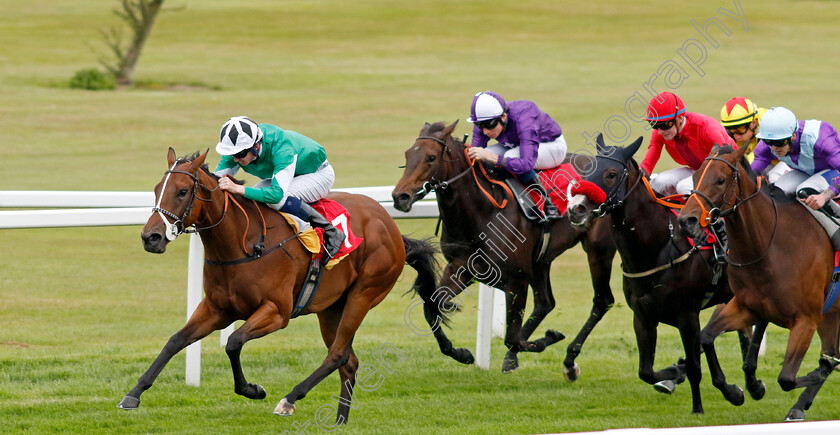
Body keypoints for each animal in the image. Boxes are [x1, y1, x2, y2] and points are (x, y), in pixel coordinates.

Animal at [120, 150, 446, 426]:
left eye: (182, 191)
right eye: (156, 189)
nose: (150, 237)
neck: (242, 243)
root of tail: (391, 227)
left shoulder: (277, 312)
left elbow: (233, 342)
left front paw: (253, 389)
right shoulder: (216, 309)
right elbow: (175, 341)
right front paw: (133, 394)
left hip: (363, 295)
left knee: (338, 354)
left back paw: (290, 399)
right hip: (331, 308)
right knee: (349, 360)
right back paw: (340, 420)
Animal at [392, 121, 616, 376]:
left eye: (430, 157)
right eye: (407, 155)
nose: (400, 197)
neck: (484, 212)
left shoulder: (516, 281)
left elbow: (512, 337)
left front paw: (549, 338)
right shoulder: (461, 268)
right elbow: (432, 308)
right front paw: (462, 353)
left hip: (598, 250)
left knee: (602, 300)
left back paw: (569, 359)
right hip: (541, 260)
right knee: (545, 302)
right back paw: (512, 358)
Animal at [564, 135, 760, 416]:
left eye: (611, 174)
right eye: (585, 171)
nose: (576, 208)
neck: (657, 247)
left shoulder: (687, 316)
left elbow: (695, 366)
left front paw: (698, 407)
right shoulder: (643, 316)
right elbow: (646, 371)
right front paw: (675, 373)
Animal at [676, 145, 840, 424]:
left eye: (720, 180)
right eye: (695, 176)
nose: (686, 220)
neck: (770, 245)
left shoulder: (806, 319)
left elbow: (787, 378)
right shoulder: (747, 307)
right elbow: (707, 337)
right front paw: (737, 391)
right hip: (831, 315)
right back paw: (799, 404)